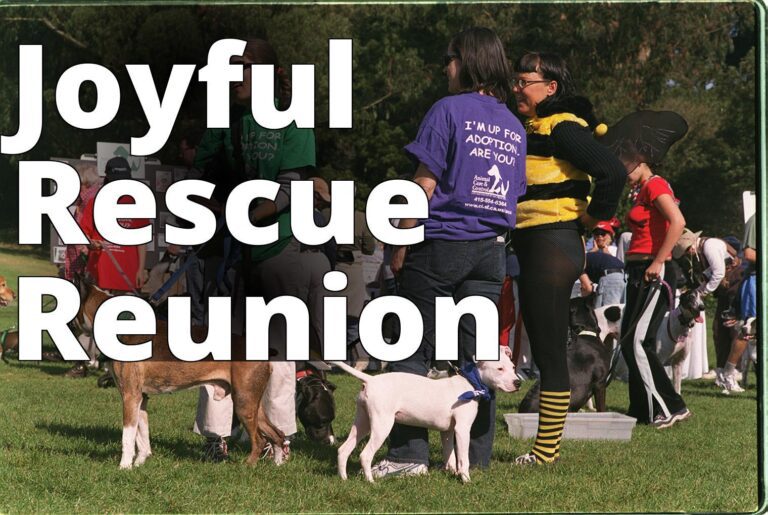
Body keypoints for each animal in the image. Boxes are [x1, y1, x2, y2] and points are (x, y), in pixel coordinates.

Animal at [73, 278, 284, 472]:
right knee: (277, 434)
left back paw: (248, 466)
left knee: (259, 439)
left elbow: (128, 436)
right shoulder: (141, 398)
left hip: (243, 403)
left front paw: (124, 467)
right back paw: (278, 465)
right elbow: (142, 435)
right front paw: (140, 462)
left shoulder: (130, 396)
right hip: (253, 405)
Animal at [332, 348, 520, 486]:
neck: (471, 383)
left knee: (343, 449)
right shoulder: (462, 429)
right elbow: (463, 459)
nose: (518, 383)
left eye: (513, 367)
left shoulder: (448, 431)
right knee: (365, 455)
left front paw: (452, 473)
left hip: (362, 422)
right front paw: (466, 480)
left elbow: (450, 455)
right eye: (500, 369)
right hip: (382, 424)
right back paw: (371, 482)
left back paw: (343, 479)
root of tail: (371, 380)